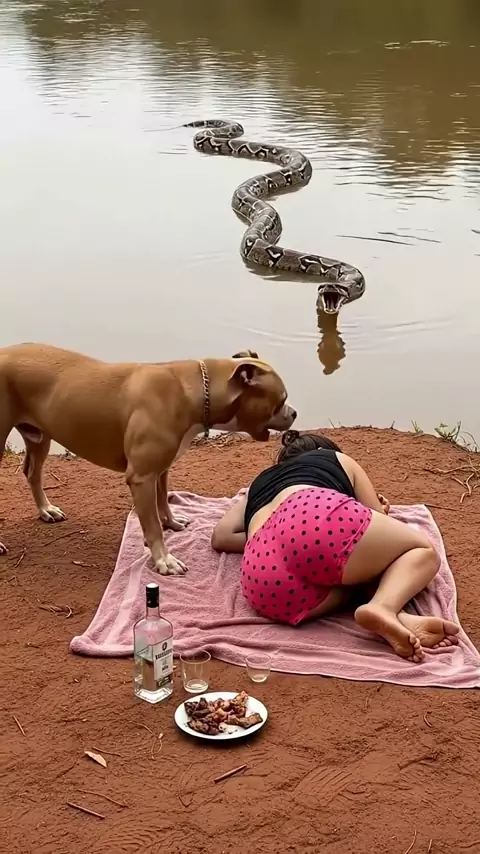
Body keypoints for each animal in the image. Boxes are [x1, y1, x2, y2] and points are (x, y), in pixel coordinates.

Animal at [0, 343, 296, 574]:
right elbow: (151, 523)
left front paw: (172, 522)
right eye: (282, 399)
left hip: (39, 437)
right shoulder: (141, 478)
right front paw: (164, 560)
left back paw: (46, 510)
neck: (195, 390)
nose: (293, 413)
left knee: (32, 473)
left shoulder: (161, 469)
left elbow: (163, 500)